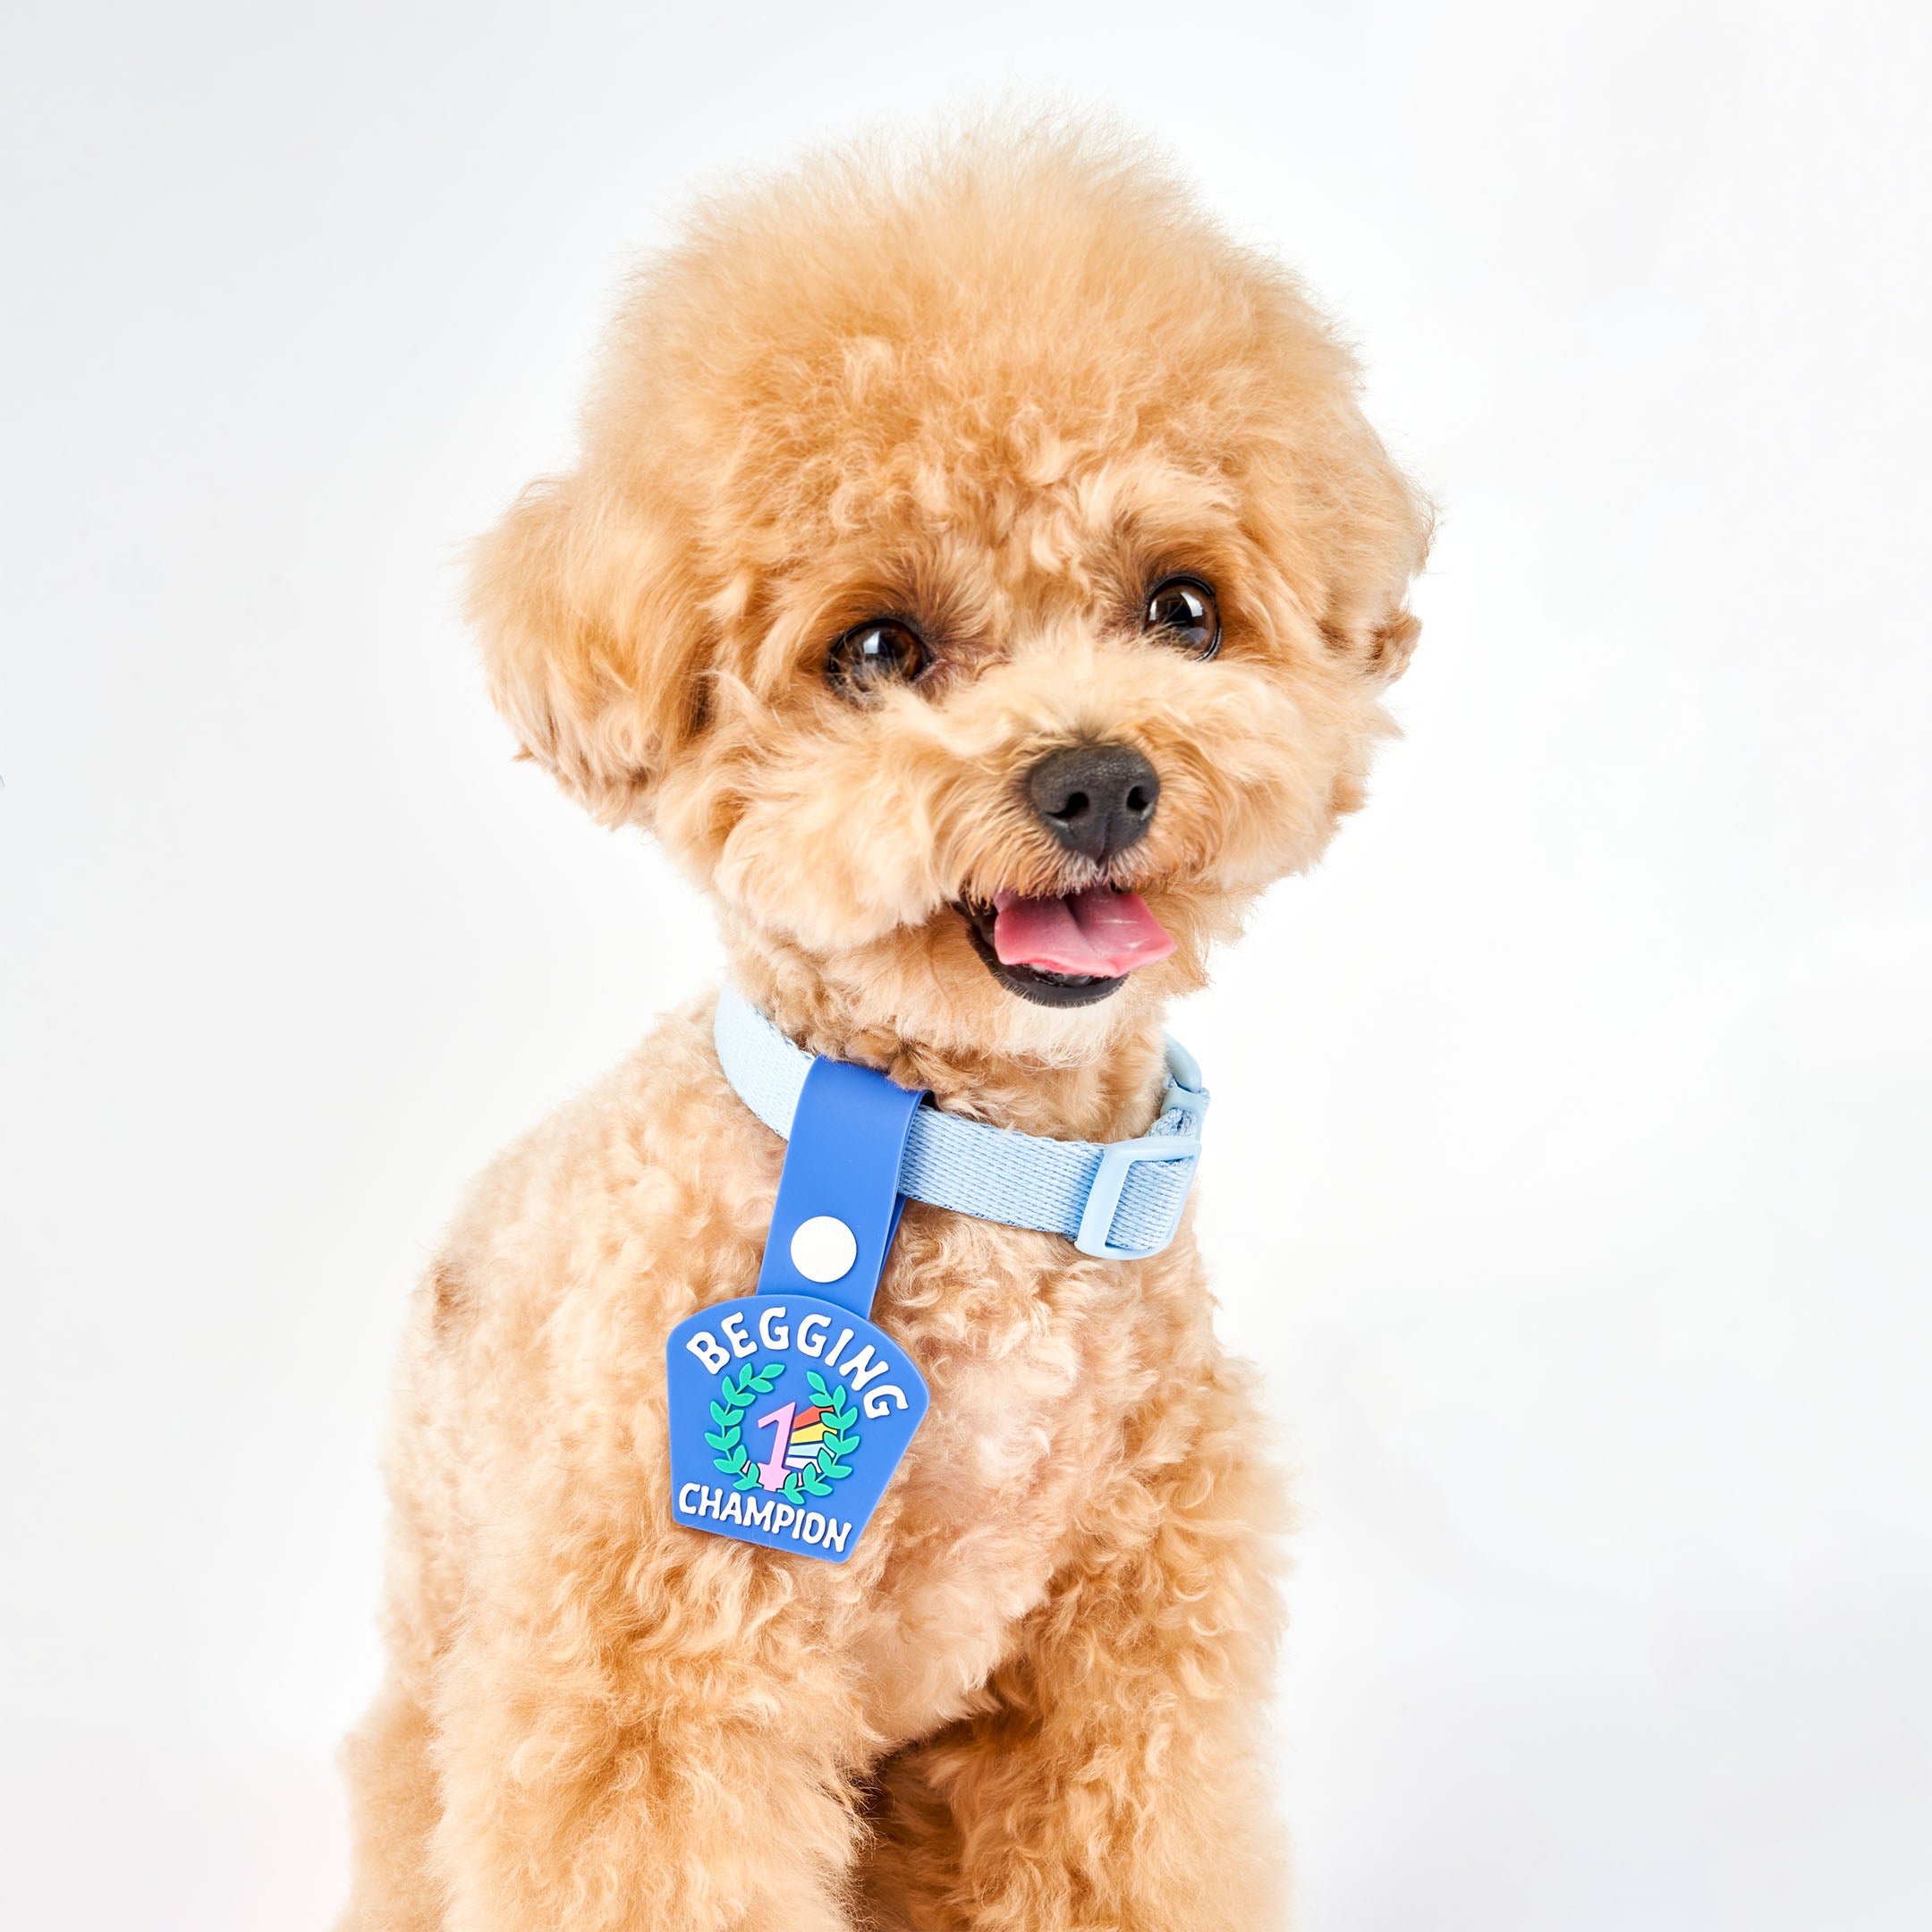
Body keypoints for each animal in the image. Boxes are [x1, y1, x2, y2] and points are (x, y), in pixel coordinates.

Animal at [340, 124, 1437, 1932]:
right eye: (878, 648)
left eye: (1182, 610)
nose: (1098, 778)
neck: (963, 1161)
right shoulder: (656, 1665)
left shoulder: (1124, 1657)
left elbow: (1120, 1855)